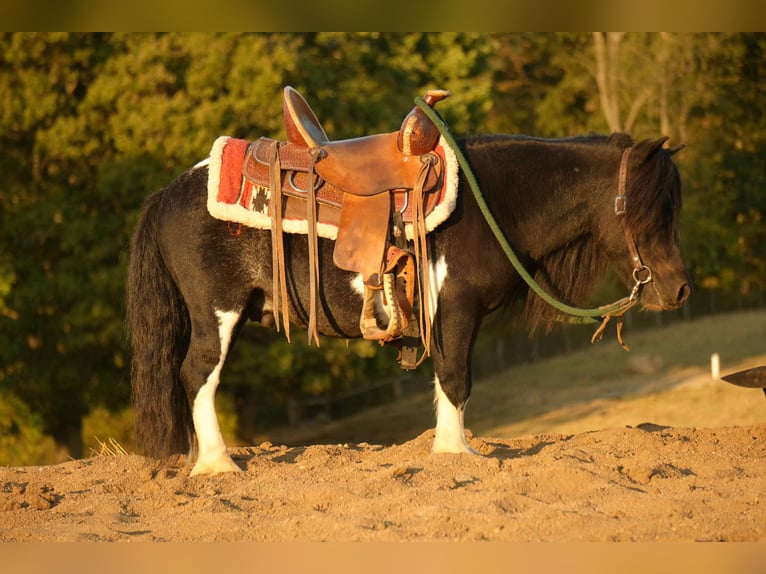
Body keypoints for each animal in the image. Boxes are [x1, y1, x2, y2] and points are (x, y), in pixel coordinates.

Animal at [127, 129, 691, 476]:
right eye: (652, 209)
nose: (680, 289)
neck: (490, 202)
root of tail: (169, 192)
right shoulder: (456, 310)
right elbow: (456, 379)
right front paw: (456, 451)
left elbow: (447, 379)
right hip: (218, 313)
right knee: (197, 374)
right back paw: (218, 464)